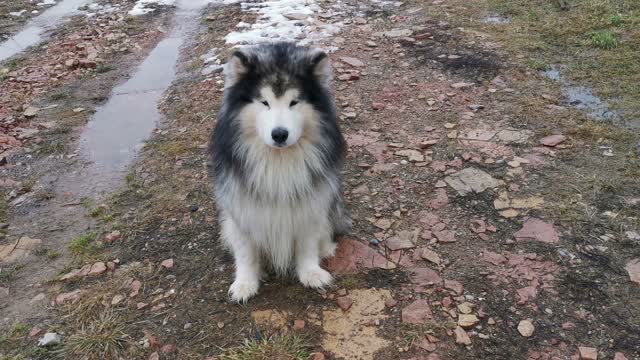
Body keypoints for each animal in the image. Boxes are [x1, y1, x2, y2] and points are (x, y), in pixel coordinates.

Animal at [209, 42, 350, 304]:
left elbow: (307, 243)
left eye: (294, 102)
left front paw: (311, 273)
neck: (278, 161)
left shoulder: (310, 204)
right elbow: (246, 251)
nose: (279, 134)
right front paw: (245, 283)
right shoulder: (242, 207)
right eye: (264, 102)